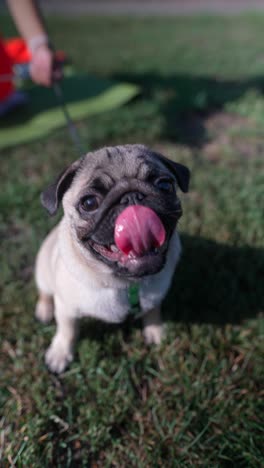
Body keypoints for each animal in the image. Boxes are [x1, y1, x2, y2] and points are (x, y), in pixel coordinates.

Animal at [35, 144, 190, 372]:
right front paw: (60, 353)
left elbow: (152, 313)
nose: (131, 196)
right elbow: (67, 330)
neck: (124, 283)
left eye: (164, 185)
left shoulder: (154, 299)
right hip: (44, 272)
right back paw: (44, 310)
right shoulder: (66, 307)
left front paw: (155, 332)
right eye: (89, 203)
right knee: (45, 293)